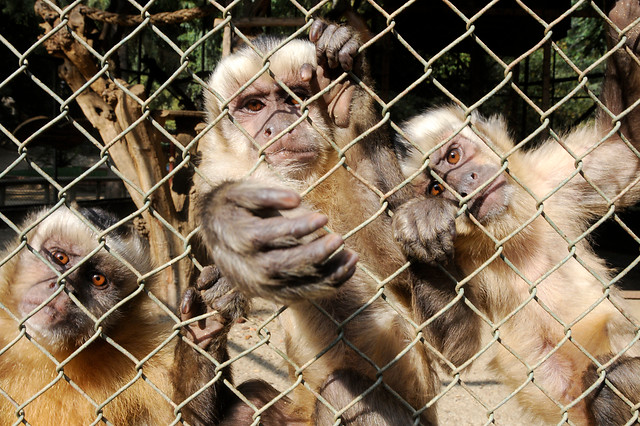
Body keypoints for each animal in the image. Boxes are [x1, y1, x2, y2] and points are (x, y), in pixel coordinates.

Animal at [194, 20, 459, 424]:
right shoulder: (216, 170)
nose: (279, 125)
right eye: (254, 106)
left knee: (341, 389)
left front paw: (343, 93)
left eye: (295, 98)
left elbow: (441, 339)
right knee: (248, 402)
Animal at [392, 0, 640, 423]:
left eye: (454, 156)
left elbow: (624, 149)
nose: (465, 185)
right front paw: (421, 231)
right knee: (611, 385)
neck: (513, 235)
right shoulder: (463, 254)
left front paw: (625, 24)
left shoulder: (553, 179)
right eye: (437, 189)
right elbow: (458, 354)